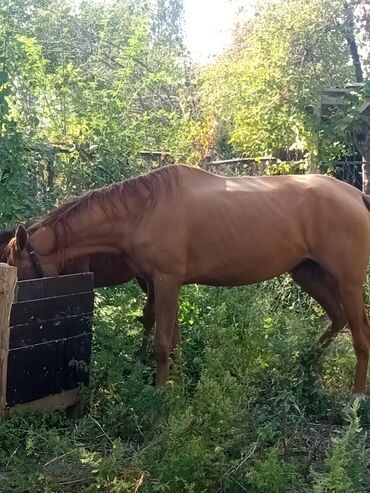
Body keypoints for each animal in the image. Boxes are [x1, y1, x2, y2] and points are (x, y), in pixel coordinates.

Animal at [5, 165, 370, 392]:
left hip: (347, 283)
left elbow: (162, 343)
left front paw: (161, 392)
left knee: (360, 336)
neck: (143, 211)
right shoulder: (161, 284)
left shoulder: (166, 281)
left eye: (20, 269)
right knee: (337, 319)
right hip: (307, 274)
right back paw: (304, 366)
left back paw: (353, 398)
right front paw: (178, 387)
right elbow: (173, 339)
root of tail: (355, 195)